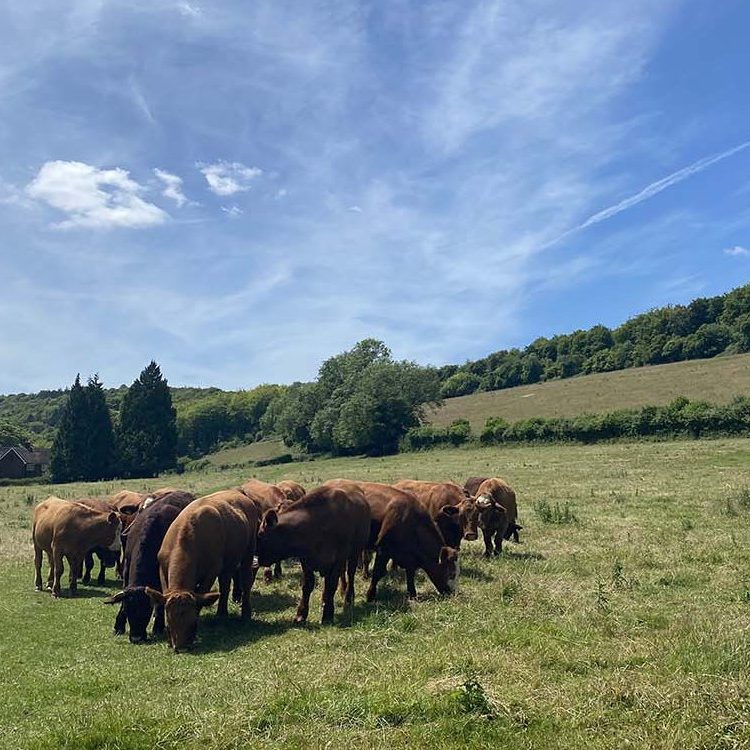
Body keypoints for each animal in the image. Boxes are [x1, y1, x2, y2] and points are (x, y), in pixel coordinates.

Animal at [104, 490, 195, 643]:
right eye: (128, 609)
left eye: (146, 609)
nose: (136, 637)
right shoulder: (126, 567)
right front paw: (119, 625)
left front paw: (158, 625)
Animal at [144, 489, 258, 652]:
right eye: (169, 623)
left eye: (193, 623)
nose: (181, 647)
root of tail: (238, 493)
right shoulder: (162, 568)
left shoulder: (212, 570)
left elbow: (202, 594)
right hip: (228, 563)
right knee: (225, 584)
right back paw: (222, 614)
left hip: (249, 550)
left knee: (246, 580)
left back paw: (244, 613)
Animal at [256, 481, 370, 625]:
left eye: (260, 534)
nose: (256, 557)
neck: (315, 525)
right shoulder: (306, 561)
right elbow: (308, 586)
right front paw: (301, 614)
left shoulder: (337, 559)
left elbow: (330, 586)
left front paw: (327, 614)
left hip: (354, 552)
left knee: (350, 573)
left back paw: (348, 598)